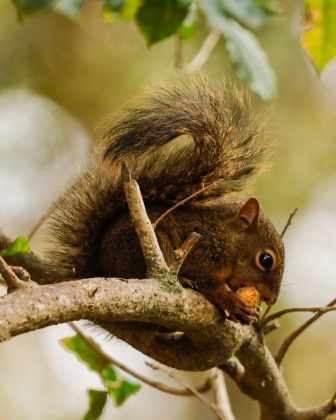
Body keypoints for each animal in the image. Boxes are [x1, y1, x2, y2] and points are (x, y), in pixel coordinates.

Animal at [46, 77, 284, 324]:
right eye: (266, 259)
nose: (271, 299)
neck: (224, 236)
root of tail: (103, 269)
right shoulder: (203, 254)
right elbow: (209, 285)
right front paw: (233, 303)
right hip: (141, 248)